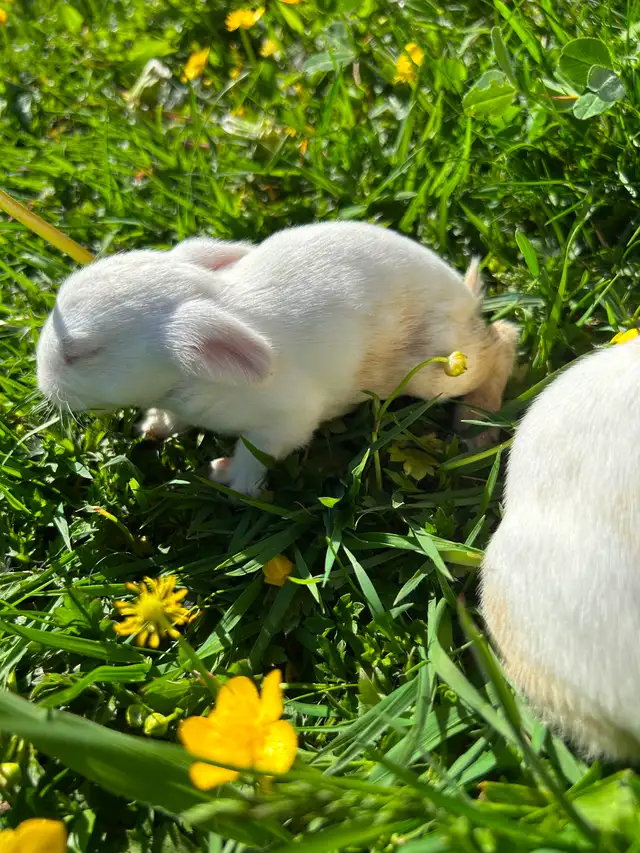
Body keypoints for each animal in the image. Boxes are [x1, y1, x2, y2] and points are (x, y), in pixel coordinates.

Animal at [36, 221, 518, 496]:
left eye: (78, 353)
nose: (42, 382)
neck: (189, 378)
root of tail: (464, 296)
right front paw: (153, 426)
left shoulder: (285, 422)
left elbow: (257, 453)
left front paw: (231, 480)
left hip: (436, 372)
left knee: (503, 342)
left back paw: (476, 425)